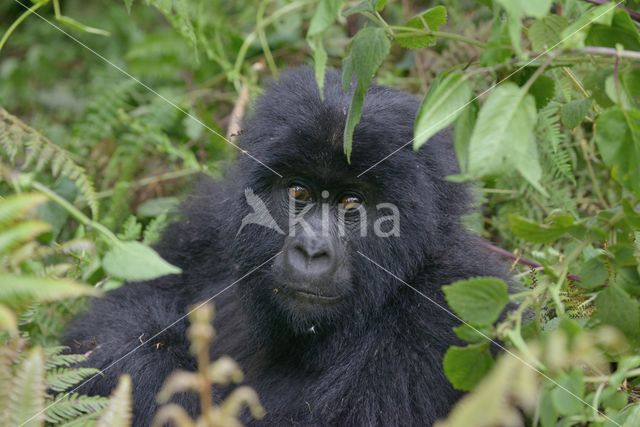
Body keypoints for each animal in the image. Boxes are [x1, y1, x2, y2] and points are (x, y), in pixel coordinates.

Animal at [63, 68, 510, 426]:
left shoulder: (450, 304)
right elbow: (115, 322)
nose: (311, 250)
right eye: (298, 192)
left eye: (351, 203)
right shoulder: (210, 220)